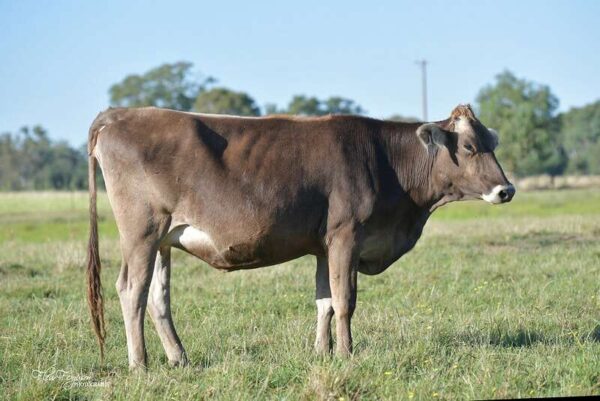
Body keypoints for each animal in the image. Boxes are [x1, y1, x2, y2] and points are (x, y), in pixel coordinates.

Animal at [86, 104, 512, 368]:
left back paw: (179, 358)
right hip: (141, 231)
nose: (506, 190)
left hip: (163, 241)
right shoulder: (346, 235)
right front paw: (346, 354)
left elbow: (324, 301)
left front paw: (322, 353)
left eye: (492, 143)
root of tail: (119, 114)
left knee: (158, 296)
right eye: (469, 146)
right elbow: (345, 301)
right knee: (132, 289)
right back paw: (139, 364)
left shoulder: (325, 245)